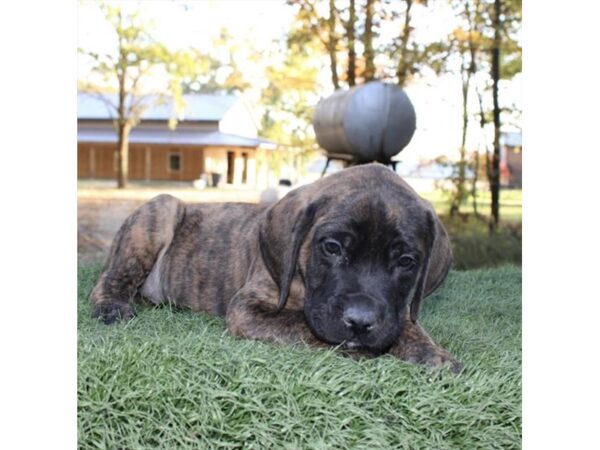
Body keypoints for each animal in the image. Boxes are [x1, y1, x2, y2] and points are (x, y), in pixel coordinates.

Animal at [91, 165, 462, 372]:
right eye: (331, 247)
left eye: (406, 261)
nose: (360, 322)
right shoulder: (248, 309)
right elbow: (302, 325)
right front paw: (357, 351)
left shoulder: (396, 310)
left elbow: (405, 324)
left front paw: (431, 353)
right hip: (162, 208)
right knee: (109, 280)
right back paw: (112, 306)